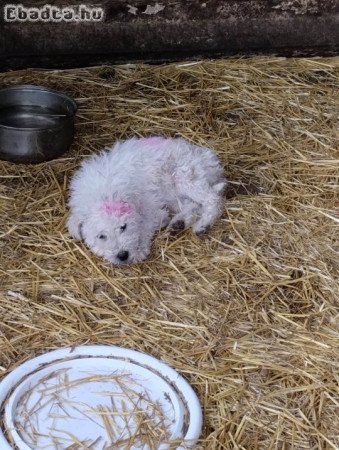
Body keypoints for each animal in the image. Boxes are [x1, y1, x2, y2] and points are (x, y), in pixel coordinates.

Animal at [67, 137, 227, 264]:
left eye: (123, 227)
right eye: (101, 236)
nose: (123, 255)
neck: (104, 194)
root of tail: (207, 158)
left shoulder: (150, 206)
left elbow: (146, 226)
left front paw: (140, 249)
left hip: (184, 177)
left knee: (211, 198)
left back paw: (203, 224)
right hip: (174, 192)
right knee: (193, 204)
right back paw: (178, 223)